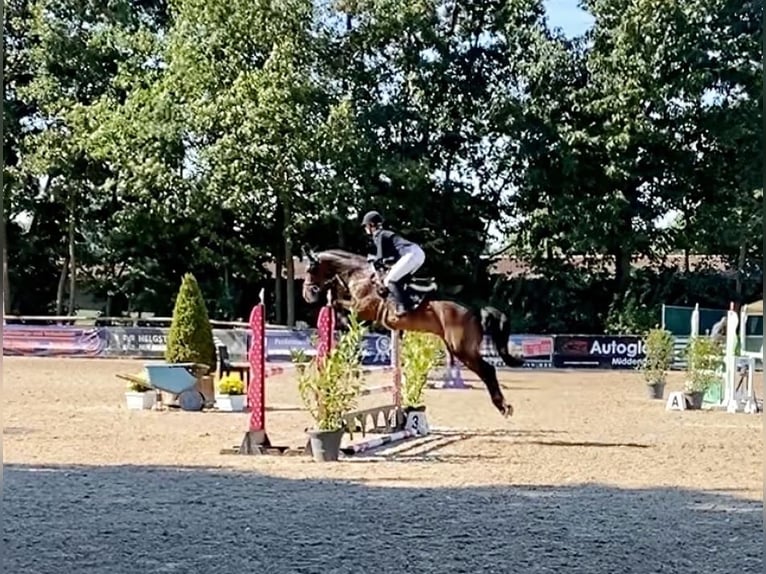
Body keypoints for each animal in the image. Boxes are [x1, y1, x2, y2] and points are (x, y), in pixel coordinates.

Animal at [300, 247, 524, 418]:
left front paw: (344, 321)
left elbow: (340, 305)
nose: (307, 295)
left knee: (488, 370)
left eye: (311, 269)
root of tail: (475, 310)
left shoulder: (361, 307)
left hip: (462, 349)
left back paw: (503, 407)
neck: (358, 275)